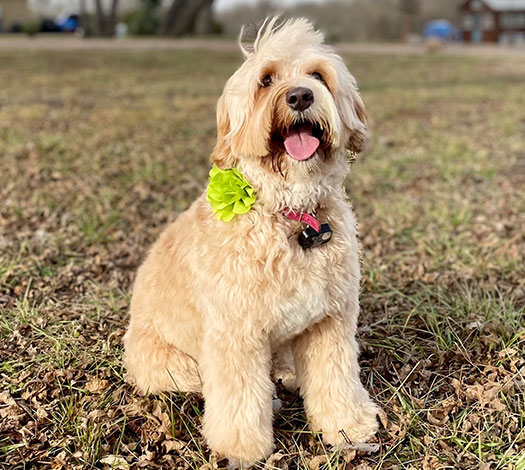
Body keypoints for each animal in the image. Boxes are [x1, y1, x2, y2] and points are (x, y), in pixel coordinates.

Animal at [124, 17, 376, 466]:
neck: (291, 214)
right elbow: (239, 397)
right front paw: (242, 448)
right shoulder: (235, 334)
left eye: (318, 75)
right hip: (172, 364)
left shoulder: (330, 321)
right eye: (266, 80)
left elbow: (336, 377)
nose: (299, 95)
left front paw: (348, 425)